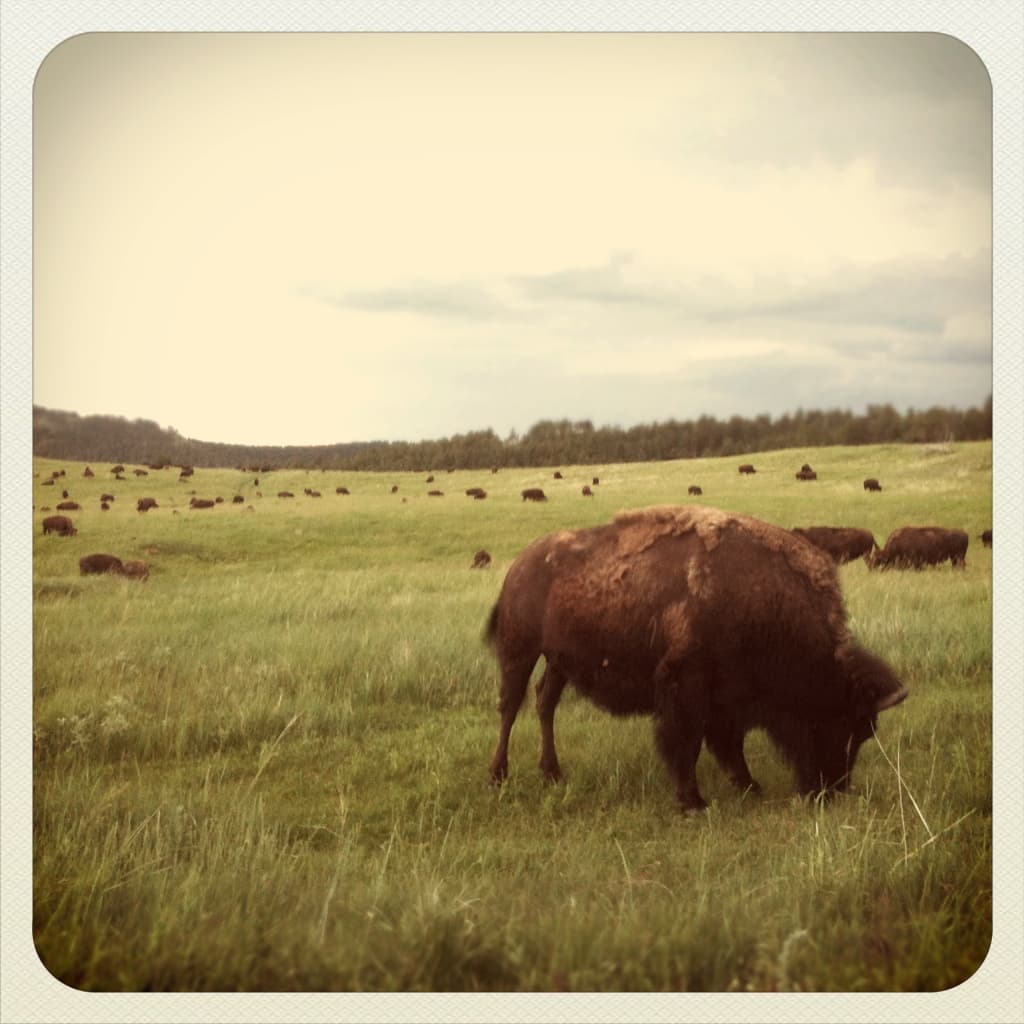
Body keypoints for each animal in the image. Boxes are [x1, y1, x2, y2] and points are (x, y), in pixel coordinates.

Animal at [486, 505, 907, 813]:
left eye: (865, 732)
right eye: (837, 717)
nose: (831, 790)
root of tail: (520, 565)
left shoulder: (725, 700)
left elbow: (728, 745)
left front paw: (749, 785)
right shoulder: (686, 690)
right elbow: (689, 744)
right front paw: (694, 802)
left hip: (558, 661)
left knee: (544, 702)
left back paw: (552, 774)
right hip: (520, 651)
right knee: (509, 707)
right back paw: (498, 776)